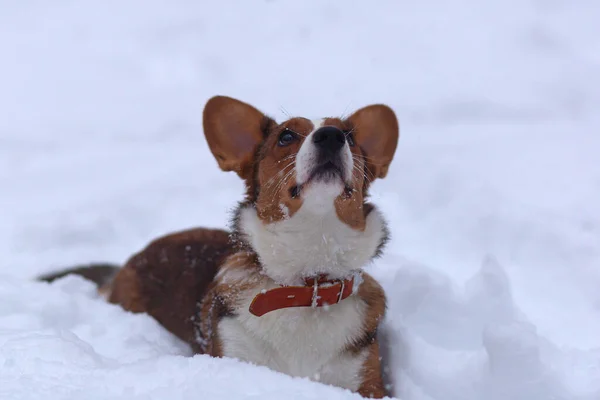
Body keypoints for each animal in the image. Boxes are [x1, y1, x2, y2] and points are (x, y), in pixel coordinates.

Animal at [39, 95, 400, 398]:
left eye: (350, 137)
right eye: (286, 136)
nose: (331, 136)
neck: (307, 283)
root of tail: (126, 264)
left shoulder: (366, 383)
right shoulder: (236, 354)